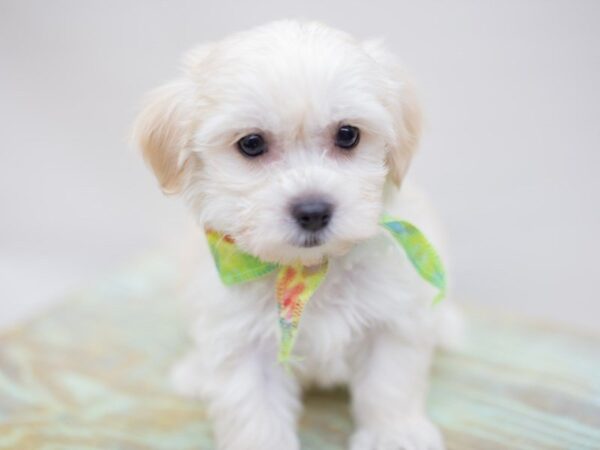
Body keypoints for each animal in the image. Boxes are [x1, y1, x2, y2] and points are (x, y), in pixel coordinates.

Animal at [134, 20, 460, 450]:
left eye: (348, 134)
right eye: (251, 143)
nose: (313, 211)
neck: (309, 272)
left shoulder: (393, 318)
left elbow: (390, 384)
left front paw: (395, 434)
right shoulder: (243, 341)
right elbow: (254, 411)